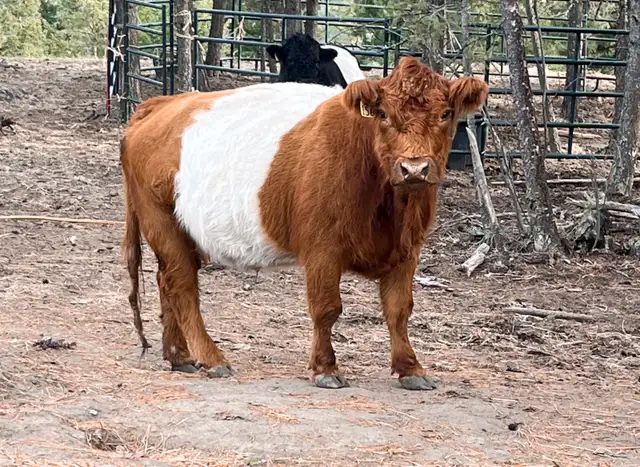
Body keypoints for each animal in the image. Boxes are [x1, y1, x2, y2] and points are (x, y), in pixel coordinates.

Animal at [120, 56, 488, 390]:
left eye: (446, 114)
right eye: (383, 114)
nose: (414, 168)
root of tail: (161, 104)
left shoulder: (407, 250)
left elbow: (399, 310)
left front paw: (410, 368)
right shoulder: (322, 248)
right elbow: (327, 308)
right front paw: (326, 368)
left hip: (180, 231)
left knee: (166, 281)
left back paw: (179, 355)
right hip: (160, 219)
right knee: (182, 287)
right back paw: (211, 358)